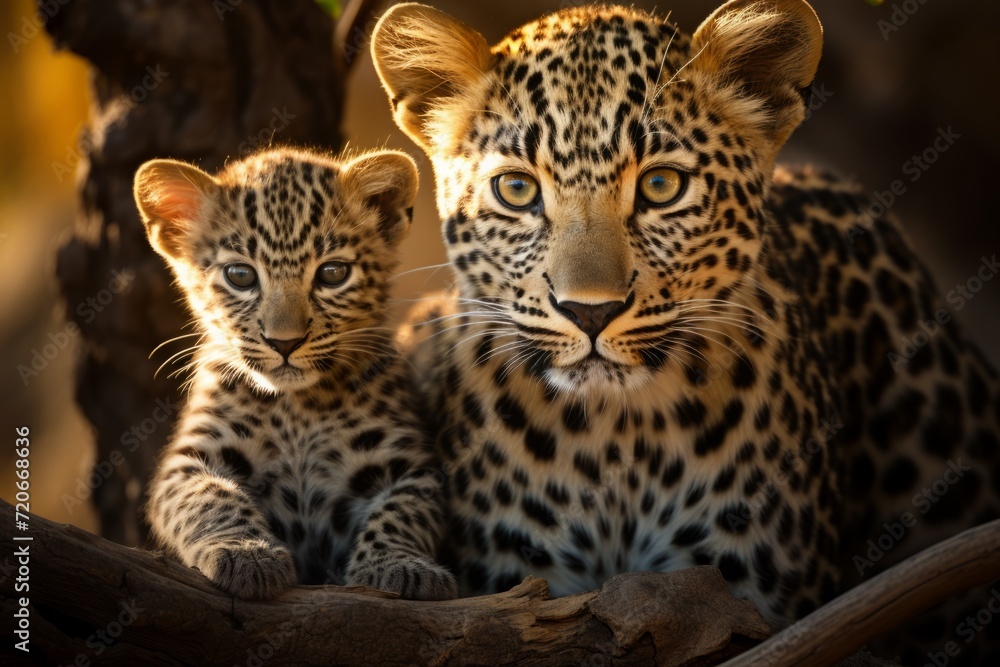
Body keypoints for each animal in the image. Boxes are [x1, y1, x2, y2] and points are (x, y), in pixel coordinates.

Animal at [134, 147, 457, 601]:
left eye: (333, 273)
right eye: (240, 276)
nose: (284, 342)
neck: (296, 409)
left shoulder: (413, 468)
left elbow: (402, 513)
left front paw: (400, 566)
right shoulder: (187, 463)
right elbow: (210, 499)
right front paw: (247, 554)